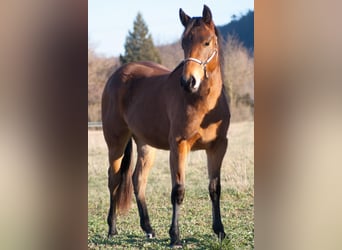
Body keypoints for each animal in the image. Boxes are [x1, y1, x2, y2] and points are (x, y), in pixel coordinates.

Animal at [101, 4, 230, 247]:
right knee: (114, 180)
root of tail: (117, 75)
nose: (188, 82)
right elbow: (178, 191)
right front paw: (175, 237)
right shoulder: (179, 146)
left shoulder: (218, 146)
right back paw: (112, 229)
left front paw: (220, 231)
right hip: (116, 143)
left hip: (145, 144)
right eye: (183, 43)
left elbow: (215, 188)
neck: (200, 102)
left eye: (207, 42)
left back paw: (148, 229)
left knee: (138, 180)